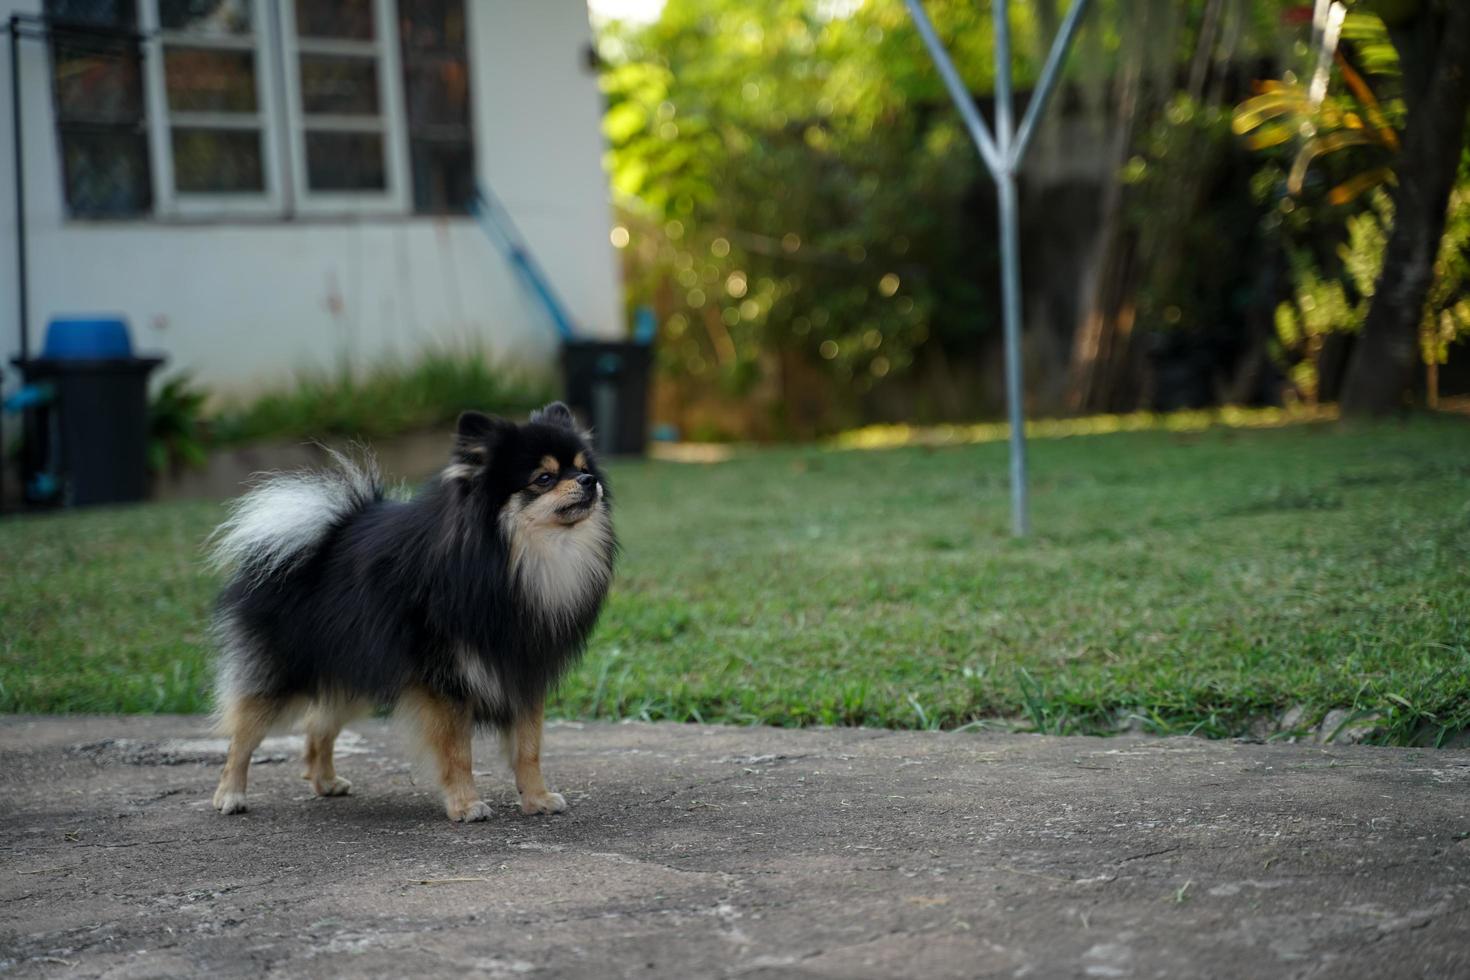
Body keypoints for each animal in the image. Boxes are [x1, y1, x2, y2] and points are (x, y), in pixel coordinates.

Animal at [202, 402, 614, 822]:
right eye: (544, 478)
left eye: (584, 467)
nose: (587, 480)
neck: (510, 563)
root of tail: (316, 537)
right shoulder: (445, 682)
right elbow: (457, 752)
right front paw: (466, 804)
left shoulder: (524, 671)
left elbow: (528, 748)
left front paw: (537, 798)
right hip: (286, 673)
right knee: (243, 735)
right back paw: (230, 794)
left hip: (355, 670)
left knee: (319, 723)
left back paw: (326, 782)